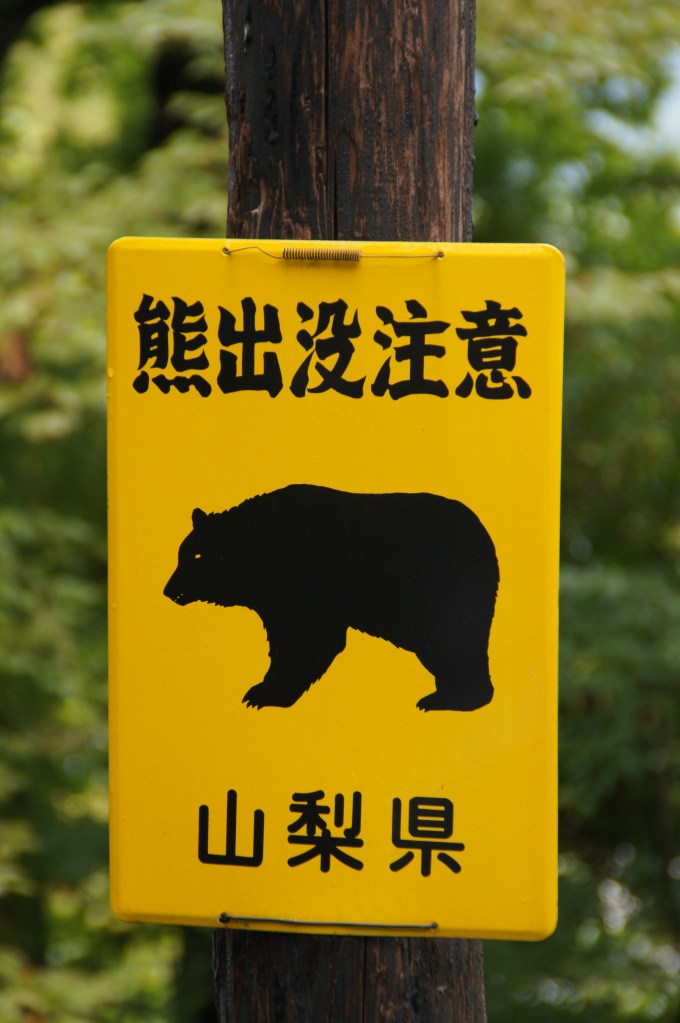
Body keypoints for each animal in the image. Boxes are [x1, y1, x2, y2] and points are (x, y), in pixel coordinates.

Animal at [163, 484, 499, 711]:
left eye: (195, 555)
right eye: (181, 553)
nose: (168, 590)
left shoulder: (310, 582)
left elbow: (308, 638)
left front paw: (264, 693)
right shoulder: (275, 598)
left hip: (442, 588)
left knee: (455, 640)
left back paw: (451, 698)